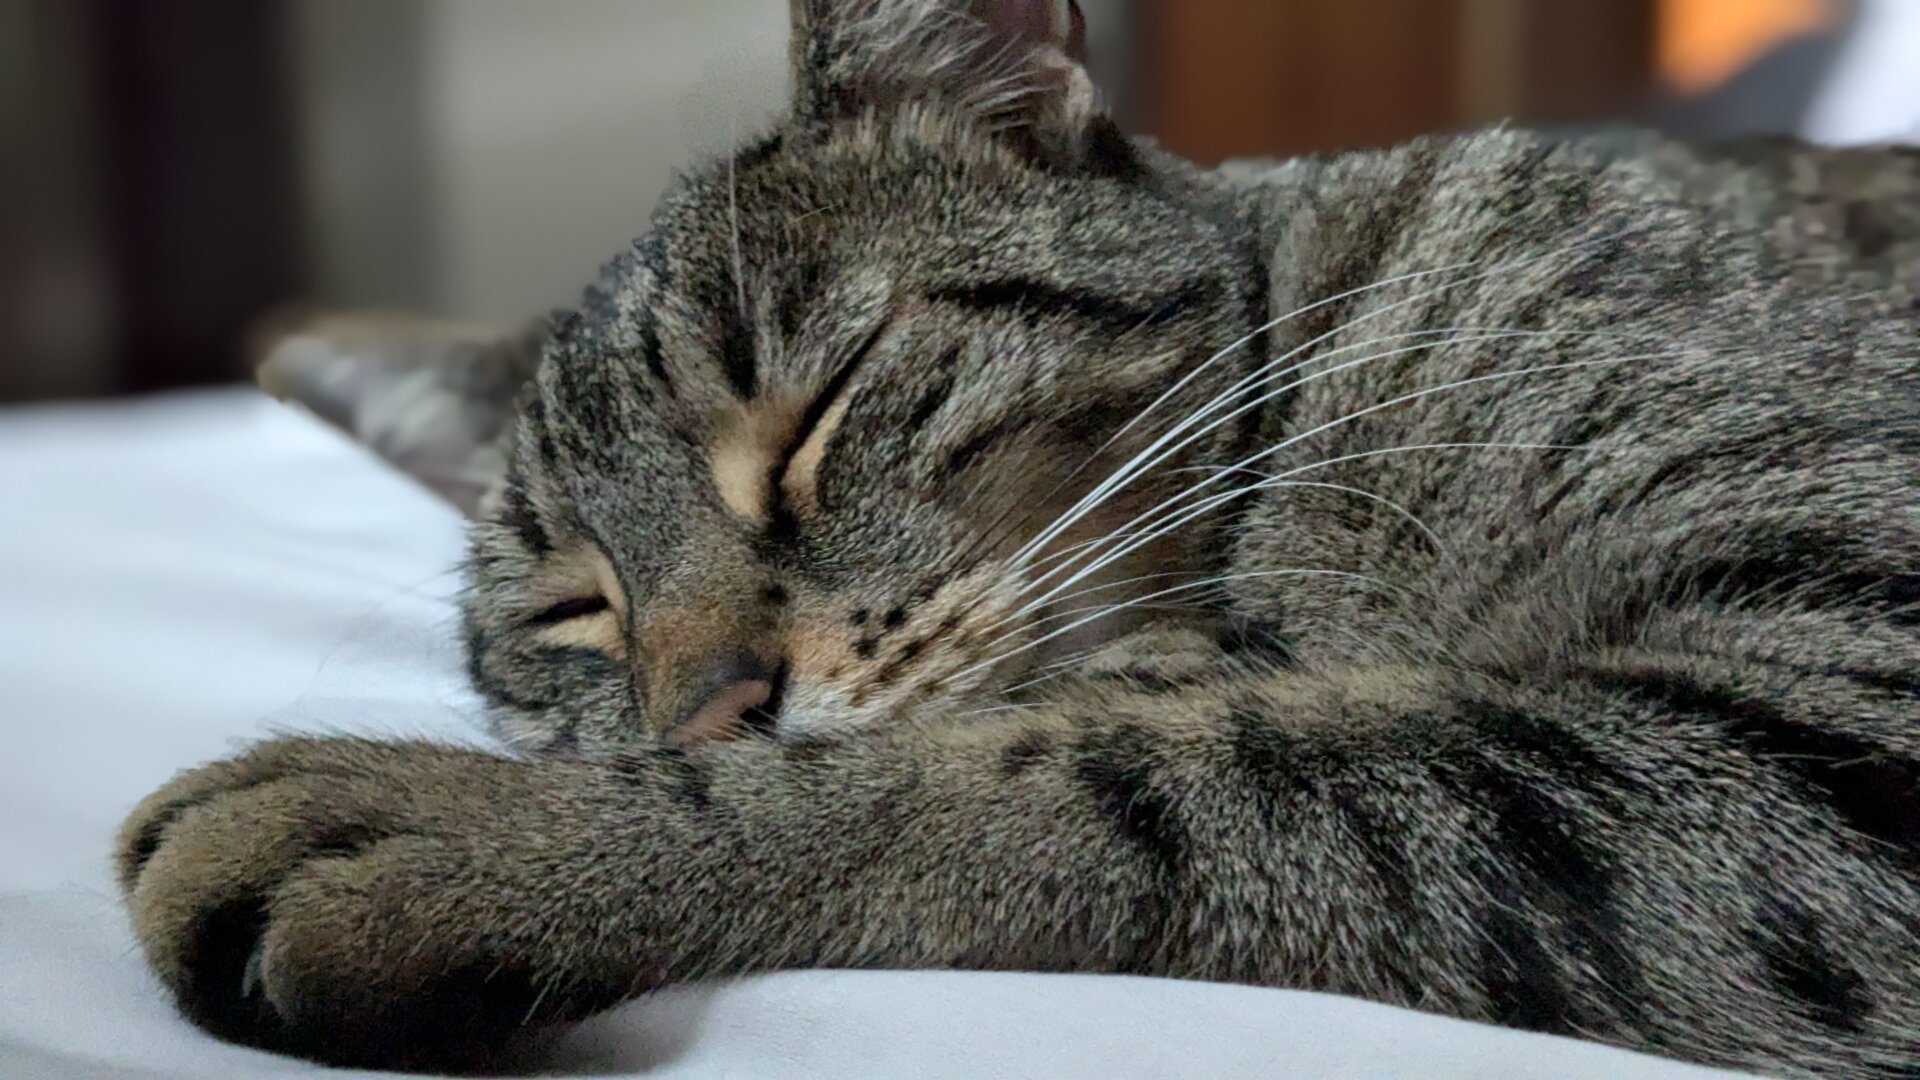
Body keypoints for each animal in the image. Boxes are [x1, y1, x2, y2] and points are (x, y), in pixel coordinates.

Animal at [116, 0, 1920, 1068]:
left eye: (814, 409)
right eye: (577, 608)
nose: (708, 704)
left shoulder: (1846, 697)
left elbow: (1109, 763)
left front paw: (468, 828)